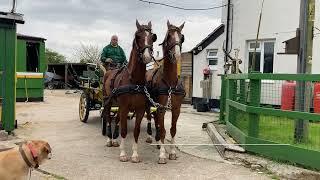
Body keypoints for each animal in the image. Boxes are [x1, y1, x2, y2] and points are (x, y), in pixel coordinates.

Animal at [102, 20, 158, 162]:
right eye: (137, 36)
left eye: (153, 37)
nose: (147, 56)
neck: (134, 80)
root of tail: (109, 71)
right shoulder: (125, 107)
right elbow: (124, 130)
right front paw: (123, 154)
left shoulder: (140, 109)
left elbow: (136, 131)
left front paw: (135, 154)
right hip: (108, 102)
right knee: (108, 118)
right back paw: (109, 140)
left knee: (116, 119)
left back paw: (115, 140)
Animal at [145, 20, 185, 163]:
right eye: (169, 37)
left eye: (182, 38)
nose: (176, 54)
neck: (170, 82)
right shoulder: (161, 107)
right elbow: (163, 130)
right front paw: (162, 155)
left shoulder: (176, 109)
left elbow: (172, 130)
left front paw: (172, 152)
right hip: (148, 104)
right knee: (150, 119)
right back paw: (151, 137)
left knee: (156, 120)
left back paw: (157, 142)